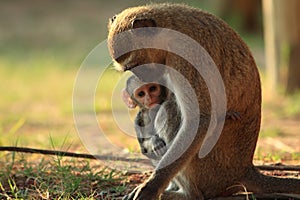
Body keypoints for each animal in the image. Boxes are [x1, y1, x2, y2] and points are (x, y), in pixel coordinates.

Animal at [106, 2, 298, 199]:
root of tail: (243, 170)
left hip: (211, 169)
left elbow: (199, 120)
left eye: (137, 66)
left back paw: (187, 194)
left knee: (169, 109)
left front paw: (151, 187)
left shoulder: (187, 58)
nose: (143, 79)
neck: (170, 33)